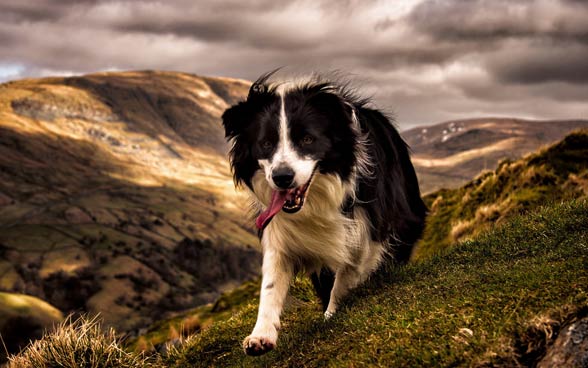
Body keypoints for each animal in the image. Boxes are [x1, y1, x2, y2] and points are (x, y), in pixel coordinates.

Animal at [220, 70, 428, 356]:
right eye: (266, 143)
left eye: (307, 139)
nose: (282, 177)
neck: (316, 200)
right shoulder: (281, 232)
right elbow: (271, 283)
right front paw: (261, 335)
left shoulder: (368, 228)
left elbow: (348, 272)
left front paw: (331, 314)